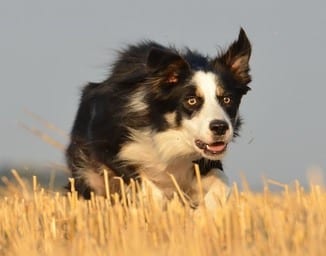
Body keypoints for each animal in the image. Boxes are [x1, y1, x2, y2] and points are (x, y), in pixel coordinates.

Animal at [65, 28, 251, 208]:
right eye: (191, 100)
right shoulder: (107, 147)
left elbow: (222, 183)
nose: (220, 127)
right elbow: (148, 188)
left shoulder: (204, 162)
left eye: (227, 99)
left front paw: (203, 213)